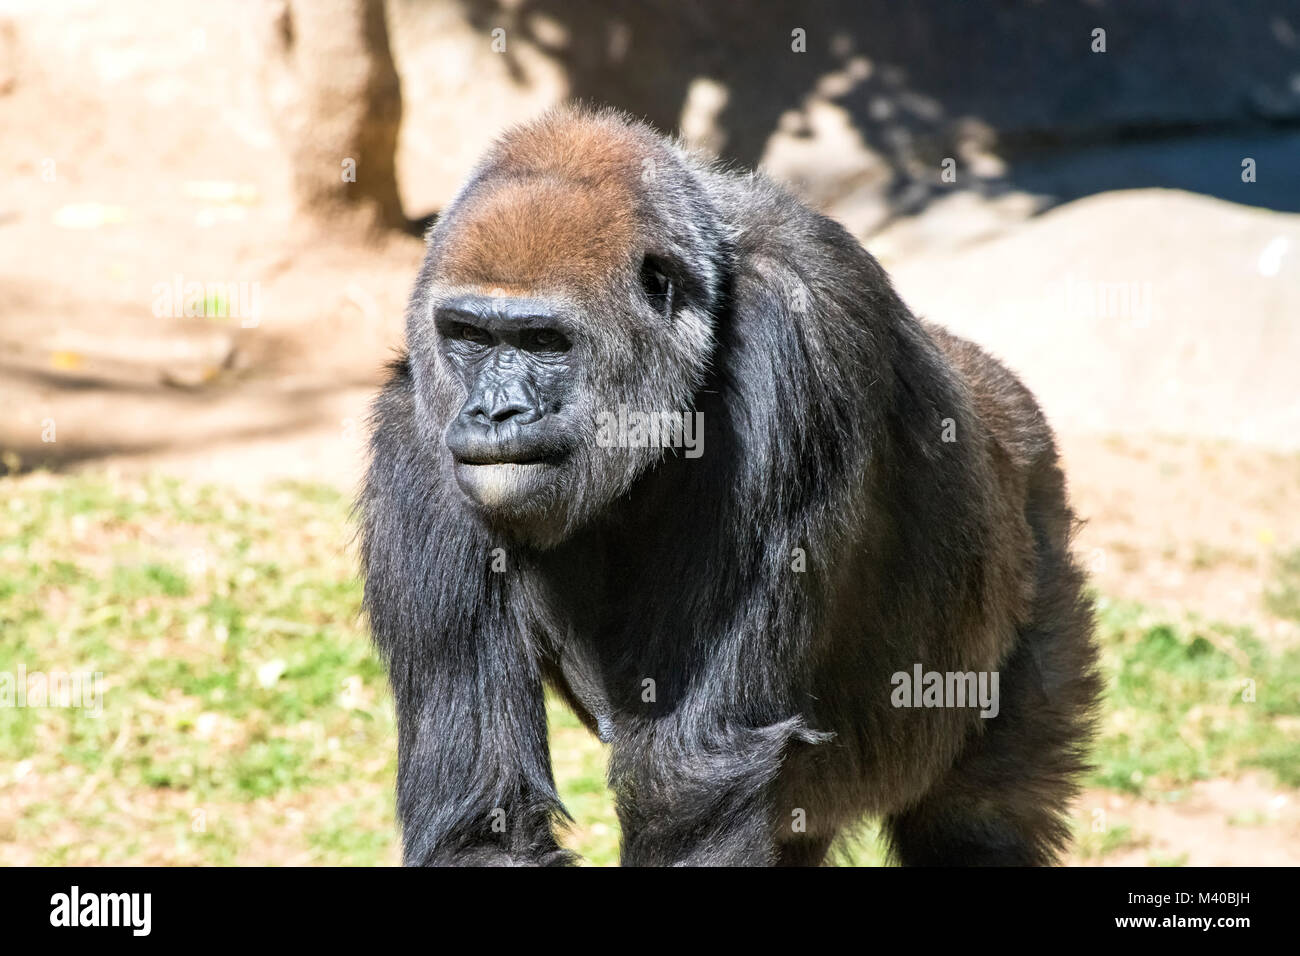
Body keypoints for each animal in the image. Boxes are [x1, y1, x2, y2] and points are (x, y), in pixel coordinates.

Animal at [361, 104, 1102, 868]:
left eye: (544, 342)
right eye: (469, 335)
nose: (493, 412)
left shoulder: (792, 342)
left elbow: (692, 773)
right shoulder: (418, 429)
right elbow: (487, 820)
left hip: (1037, 545)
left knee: (979, 817)